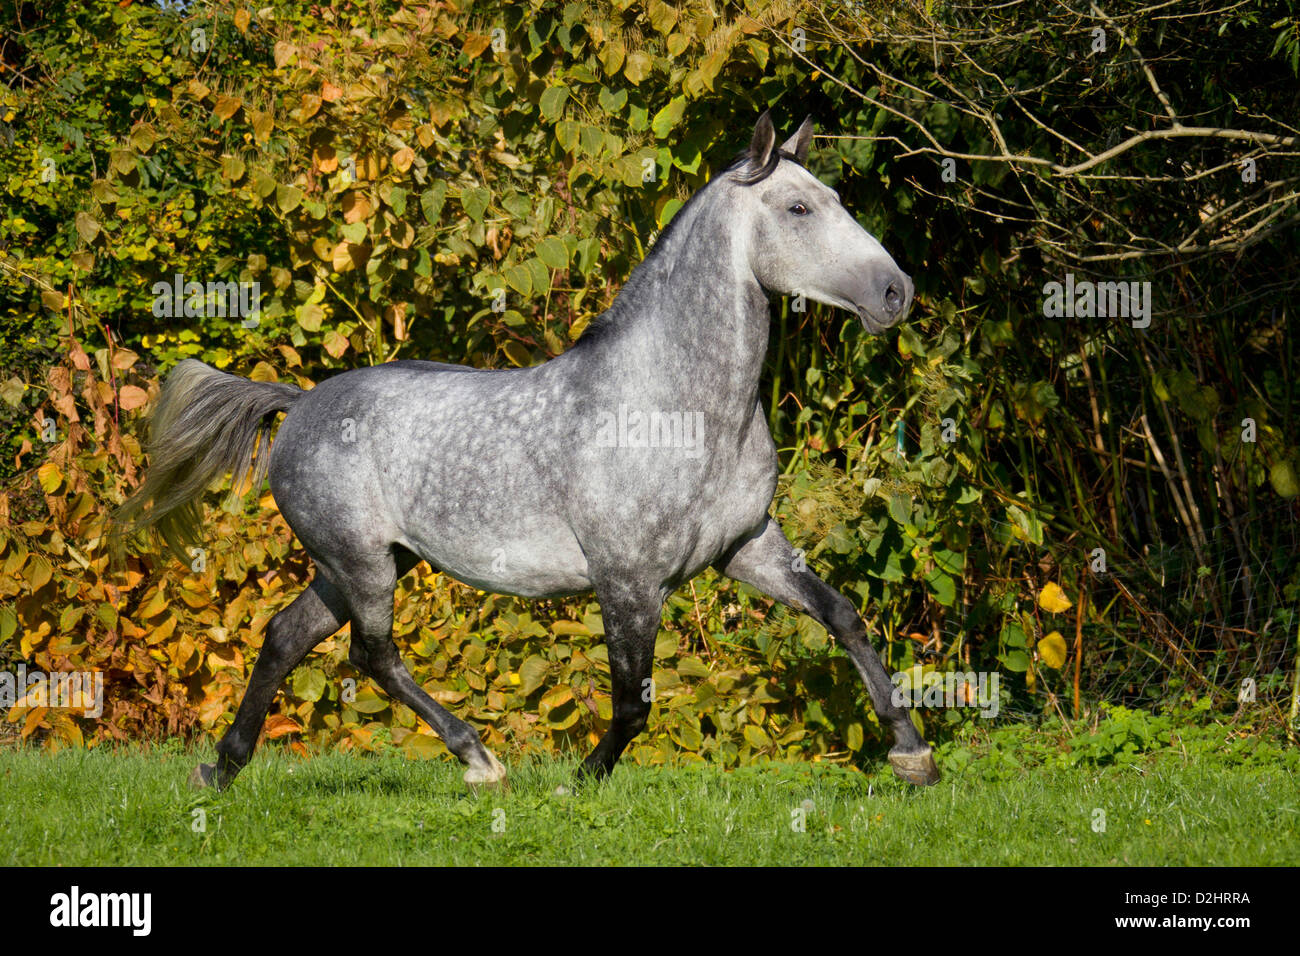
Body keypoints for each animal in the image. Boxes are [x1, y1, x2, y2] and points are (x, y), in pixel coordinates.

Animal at [116, 111, 941, 790]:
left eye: (835, 198)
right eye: (799, 208)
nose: (895, 292)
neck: (679, 411)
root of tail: (300, 403)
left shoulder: (747, 546)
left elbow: (843, 617)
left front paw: (912, 756)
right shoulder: (628, 578)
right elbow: (632, 700)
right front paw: (583, 778)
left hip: (359, 563)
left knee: (286, 637)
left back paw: (221, 768)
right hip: (361, 562)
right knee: (370, 655)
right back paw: (478, 759)